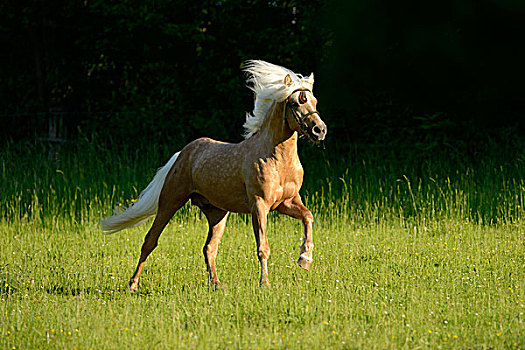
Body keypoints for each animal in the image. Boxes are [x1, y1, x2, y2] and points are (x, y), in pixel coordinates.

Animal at [100, 60, 326, 290]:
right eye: (297, 102)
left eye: (314, 100)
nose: (320, 130)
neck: (277, 159)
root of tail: (184, 153)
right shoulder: (259, 205)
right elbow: (263, 247)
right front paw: (265, 283)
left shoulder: (286, 203)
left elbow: (308, 216)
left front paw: (305, 259)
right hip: (170, 202)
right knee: (150, 241)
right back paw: (133, 284)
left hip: (218, 213)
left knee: (209, 248)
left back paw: (216, 284)